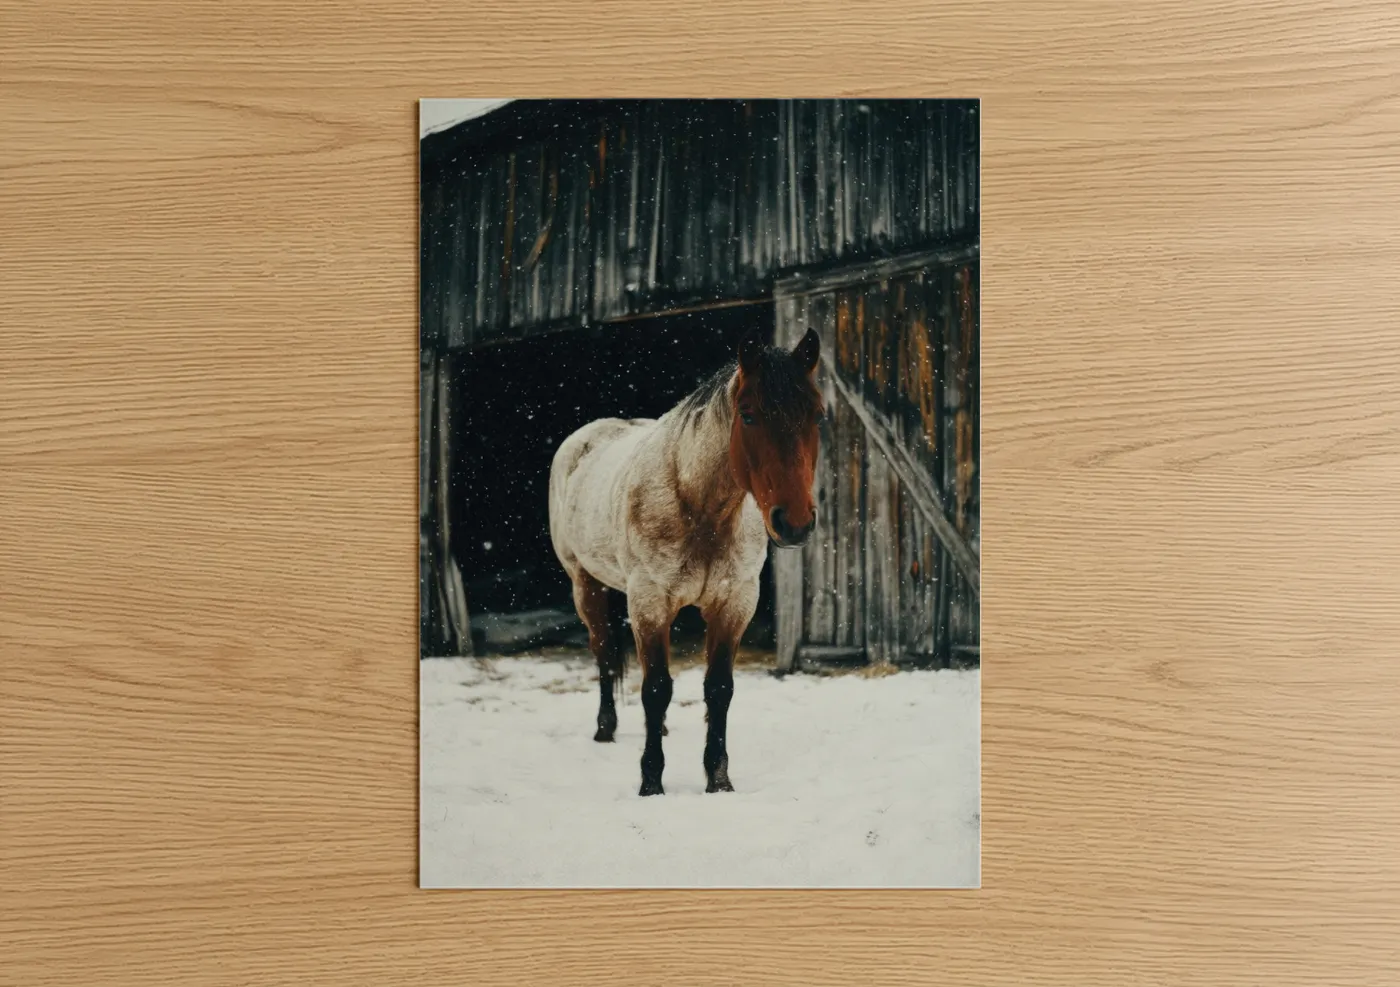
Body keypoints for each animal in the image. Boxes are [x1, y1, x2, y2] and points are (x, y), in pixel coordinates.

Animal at [548, 327, 824, 796]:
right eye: (748, 415)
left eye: (818, 415)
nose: (795, 523)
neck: (700, 508)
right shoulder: (650, 603)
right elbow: (656, 688)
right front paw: (651, 783)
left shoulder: (734, 604)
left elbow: (719, 689)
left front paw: (719, 780)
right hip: (585, 584)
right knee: (603, 652)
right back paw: (605, 728)